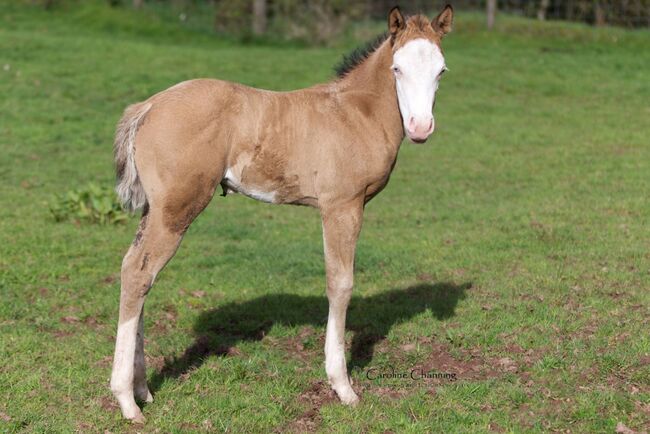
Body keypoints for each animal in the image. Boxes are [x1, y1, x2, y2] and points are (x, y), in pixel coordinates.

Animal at [109, 5, 454, 422]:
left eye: (441, 70)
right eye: (397, 68)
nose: (420, 128)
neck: (356, 113)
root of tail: (147, 107)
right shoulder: (342, 206)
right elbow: (340, 284)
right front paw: (342, 386)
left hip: (155, 209)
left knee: (139, 273)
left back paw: (142, 390)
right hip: (176, 209)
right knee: (138, 273)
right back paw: (127, 401)